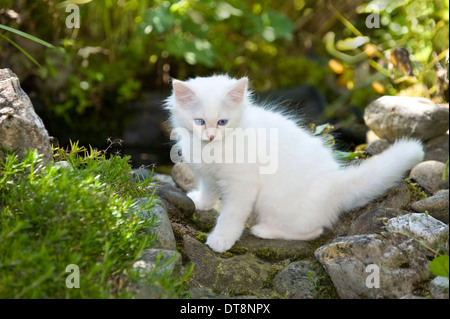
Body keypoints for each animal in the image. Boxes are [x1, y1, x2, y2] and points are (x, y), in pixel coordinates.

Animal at [164, 74, 422, 252]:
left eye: (222, 122)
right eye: (199, 121)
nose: (210, 136)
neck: (211, 149)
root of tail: (335, 184)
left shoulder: (242, 185)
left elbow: (230, 215)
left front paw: (221, 239)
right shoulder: (208, 175)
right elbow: (209, 192)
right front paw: (200, 203)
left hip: (275, 203)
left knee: (313, 230)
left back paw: (264, 230)